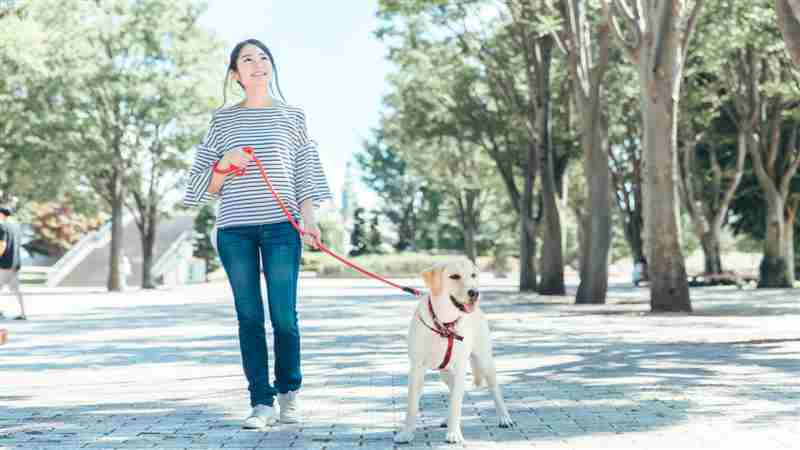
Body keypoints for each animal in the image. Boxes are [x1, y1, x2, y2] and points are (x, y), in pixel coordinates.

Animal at [394, 258, 512, 444]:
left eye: (473, 275)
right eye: (454, 276)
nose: (475, 293)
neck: (444, 323)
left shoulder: (460, 368)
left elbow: (456, 403)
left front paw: (454, 434)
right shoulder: (416, 368)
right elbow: (412, 405)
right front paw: (406, 433)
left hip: (485, 361)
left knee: (495, 391)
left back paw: (504, 418)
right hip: (445, 372)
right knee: (453, 392)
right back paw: (446, 419)